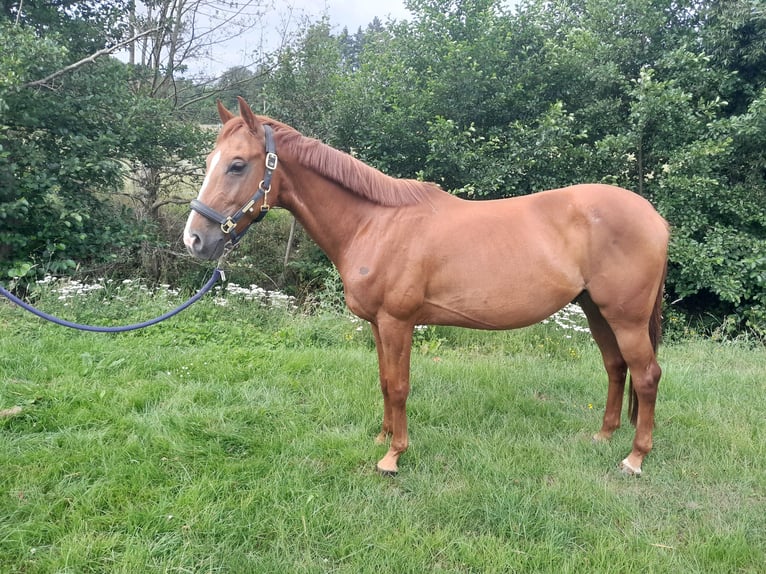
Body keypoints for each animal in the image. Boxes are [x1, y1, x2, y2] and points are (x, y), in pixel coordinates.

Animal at [183, 98, 668, 476]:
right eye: (208, 163)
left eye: (237, 165)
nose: (194, 240)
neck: (376, 223)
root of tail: (654, 217)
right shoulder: (378, 324)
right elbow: (384, 381)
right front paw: (382, 437)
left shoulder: (398, 322)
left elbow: (399, 386)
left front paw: (393, 457)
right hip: (594, 309)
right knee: (615, 367)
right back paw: (603, 436)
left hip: (625, 317)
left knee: (646, 375)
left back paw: (635, 458)